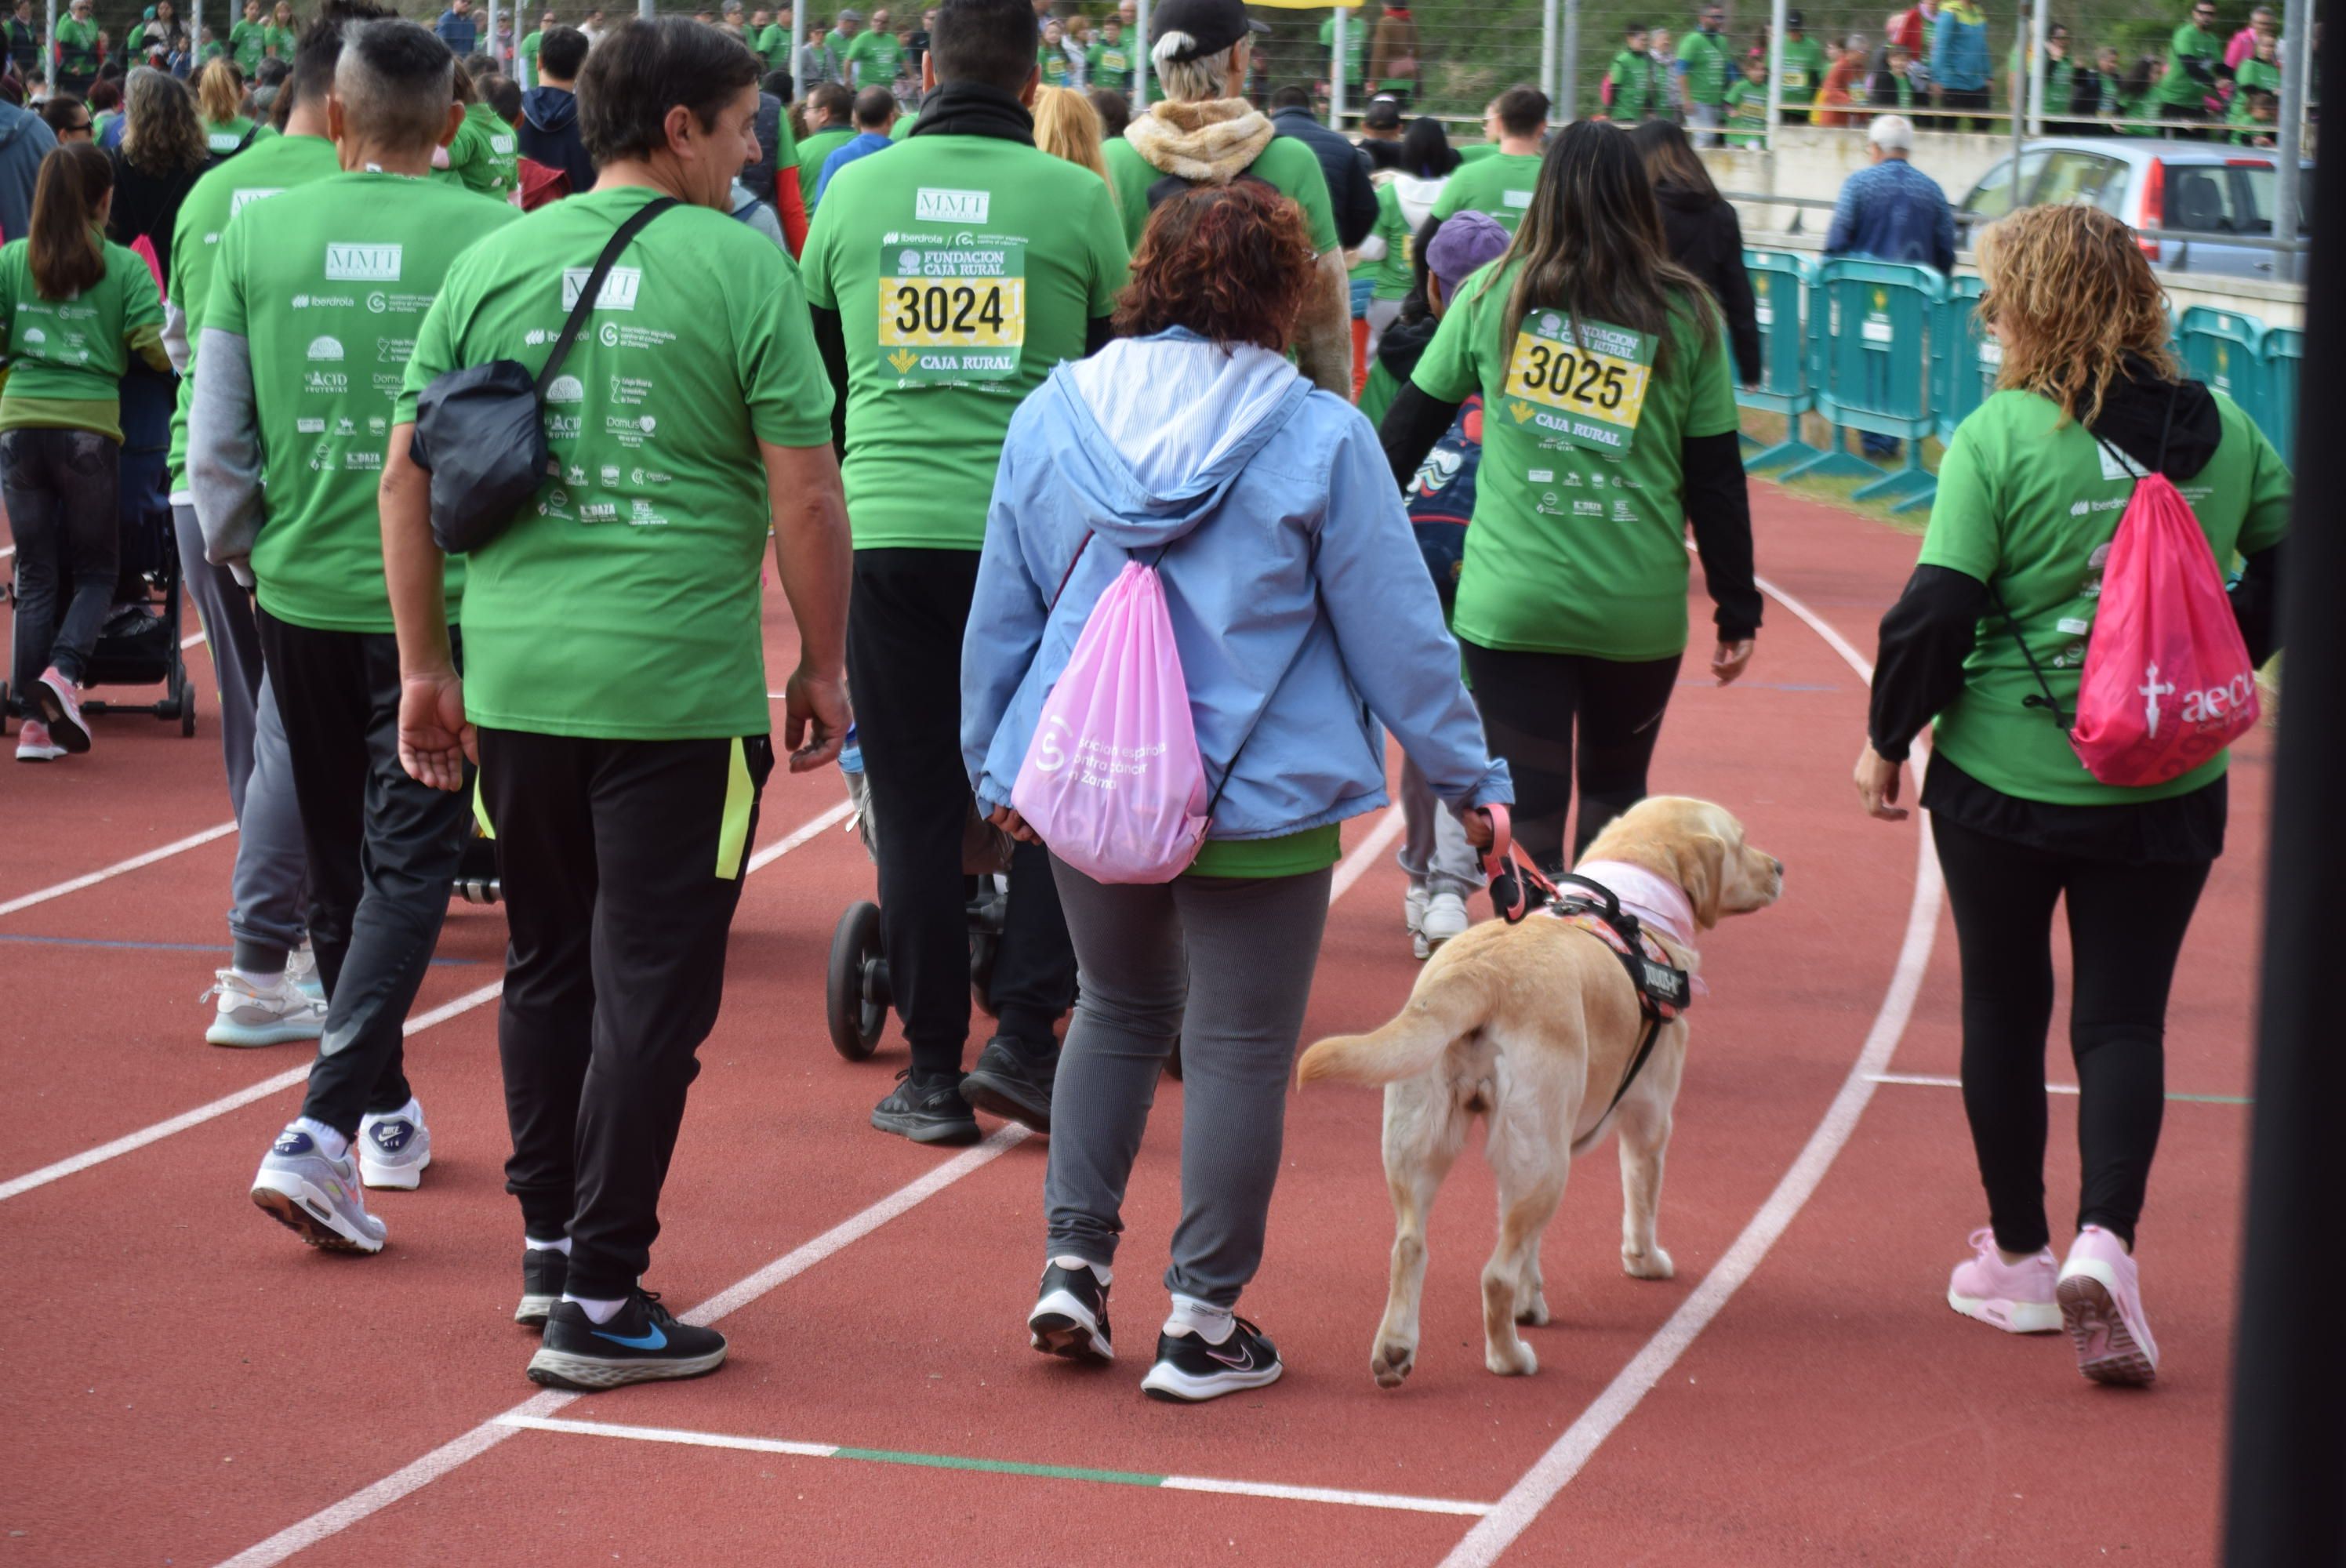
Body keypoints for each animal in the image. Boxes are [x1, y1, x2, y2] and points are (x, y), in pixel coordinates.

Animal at [1304, 797, 1773, 1380]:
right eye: (1742, 841)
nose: (1780, 867)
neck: (1637, 906)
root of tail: (1479, 974)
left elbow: (1528, 1246)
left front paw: (1533, 1303)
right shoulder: (1649, 1121)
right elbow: (1641, 1202)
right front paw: (1646, 1262)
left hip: (1428, 1142)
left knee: (1410, 1245)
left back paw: (1395, 1350)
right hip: (1544, 1163)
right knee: (1494, 1275)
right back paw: (1509, 1358)